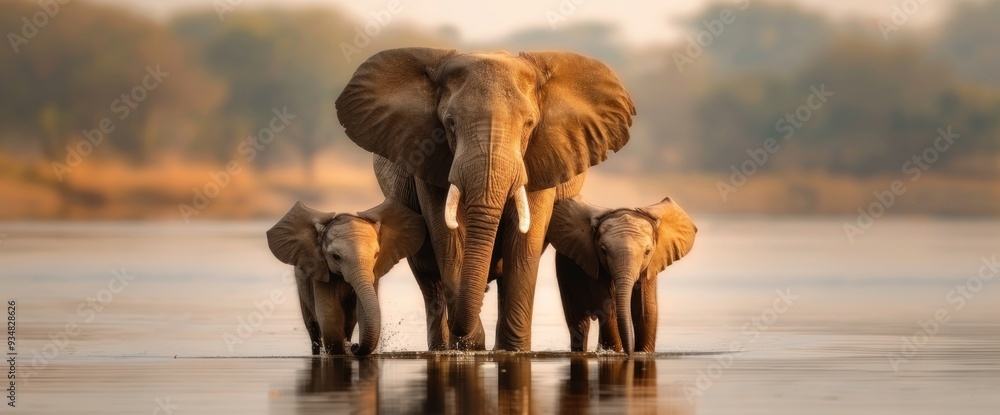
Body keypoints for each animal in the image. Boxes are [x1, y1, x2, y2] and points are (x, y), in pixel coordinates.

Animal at [265, 199, 425, 355]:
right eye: (336, 257)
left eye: (376, 255)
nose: (354, 346)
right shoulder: (320, 272)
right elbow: (330, 319)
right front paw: (343, 350)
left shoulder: (374, 275)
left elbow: (361, 313)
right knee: (312, 328)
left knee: (349, 323)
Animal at [336, 47, 635, 351]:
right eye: (449, 123)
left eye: (529, 124)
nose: (355, 347)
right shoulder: (430, 157)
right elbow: (448, 236)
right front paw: (469, 345)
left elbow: (524, 244)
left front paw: (511, 351)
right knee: (429, 281)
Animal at [546, 196, 697, 353]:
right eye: (603, 251)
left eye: (647, 252)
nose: (629, 352)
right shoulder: (596, 266)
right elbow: (609, 309)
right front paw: (616, 353)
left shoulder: (649, 267)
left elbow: (646, 310)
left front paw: (641, 353)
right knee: (579, 322)